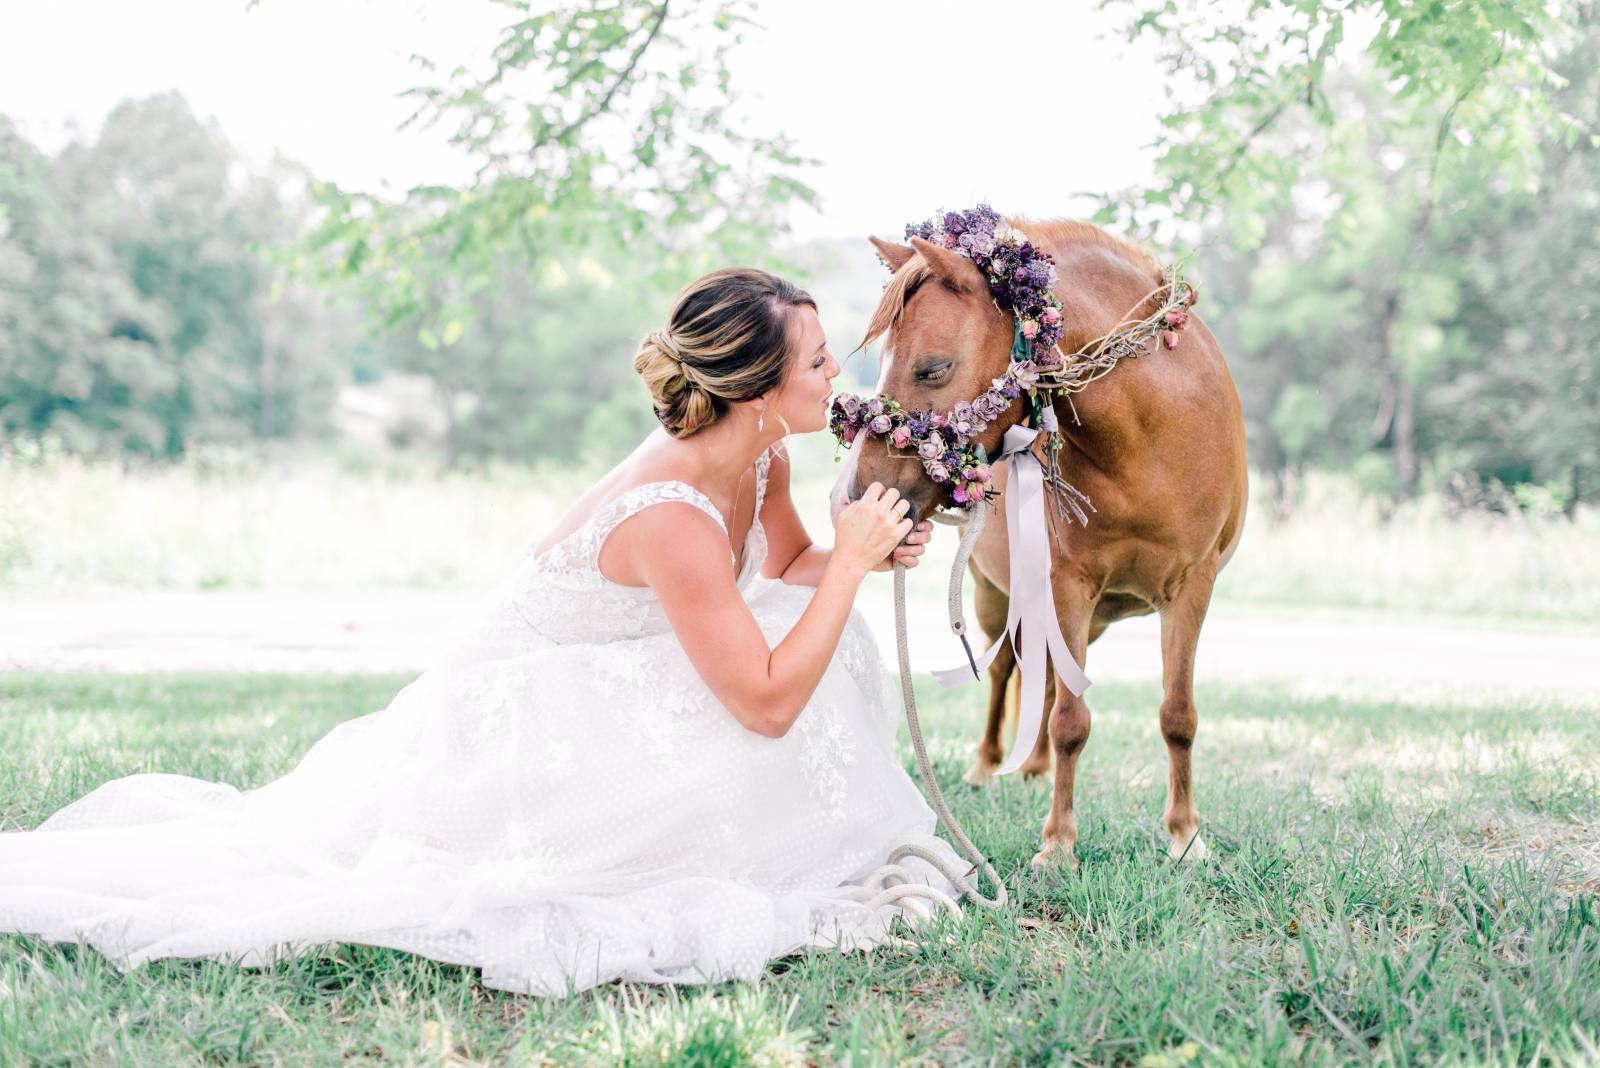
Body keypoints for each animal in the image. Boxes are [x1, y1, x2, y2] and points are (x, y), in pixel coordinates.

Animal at [832, 217, 1254, 869]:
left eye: (931, 368)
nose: (857, 499)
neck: (1151, 437)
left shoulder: (1192, 587)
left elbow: (1176, 715)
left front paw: (1185, 837)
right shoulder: (1068, 585)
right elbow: (1070, 721)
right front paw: (1059, 846)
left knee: (1047, 675)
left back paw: (1033, 769)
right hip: (995, 598)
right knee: (1008, 670)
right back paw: (988, 768)